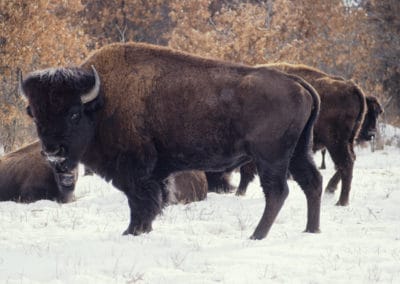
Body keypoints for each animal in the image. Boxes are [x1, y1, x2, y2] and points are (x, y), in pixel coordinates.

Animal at [21, 41, 322, 240]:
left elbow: (140, 201)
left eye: (73, 113)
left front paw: (132, 231)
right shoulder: (155, 172)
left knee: (277, 191)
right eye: (35, 114)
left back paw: (256, 235)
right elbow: (155, 199)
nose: (53, 150)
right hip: (298, 151)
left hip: (271, 157)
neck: (102, 102)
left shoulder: (134, 171)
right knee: (312, 182)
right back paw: (311, 229)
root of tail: (296, 82)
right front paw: (140, 229)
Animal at [228, 63, 378, 205]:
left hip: (336, 142)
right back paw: (332, 192)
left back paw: (341, 201)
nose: (372, 133)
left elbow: (246, 169)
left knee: (345, 163)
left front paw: (239, 192)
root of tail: (351, 87)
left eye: (377, 113)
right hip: (347, 141)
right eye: (370, 114)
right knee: (348, 161)